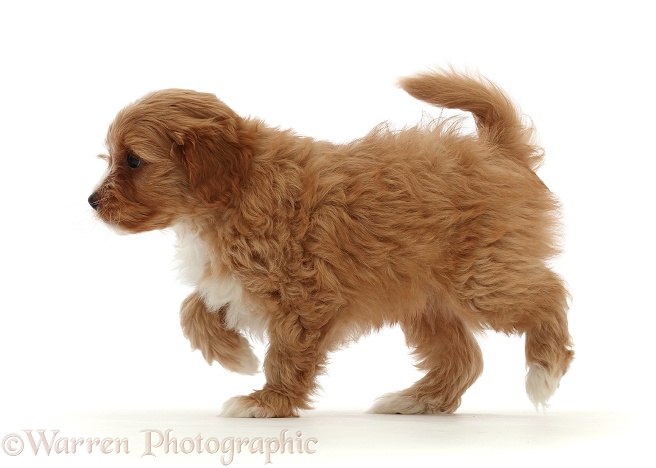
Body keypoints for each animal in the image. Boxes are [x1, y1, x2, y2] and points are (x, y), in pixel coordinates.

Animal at [88, 70, 576, 416]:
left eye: (133, 161)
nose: (91, 202)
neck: (238, 187)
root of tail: (498, 150)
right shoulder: (231, 280)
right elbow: (192, 308)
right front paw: (235, 356)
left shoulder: (305, 296)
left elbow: (285, 353)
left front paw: (267, 401)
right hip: (426, 301)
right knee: (464, 357)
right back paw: (417, 401)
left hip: (481, 277)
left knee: (547, 293)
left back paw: (544, 371)